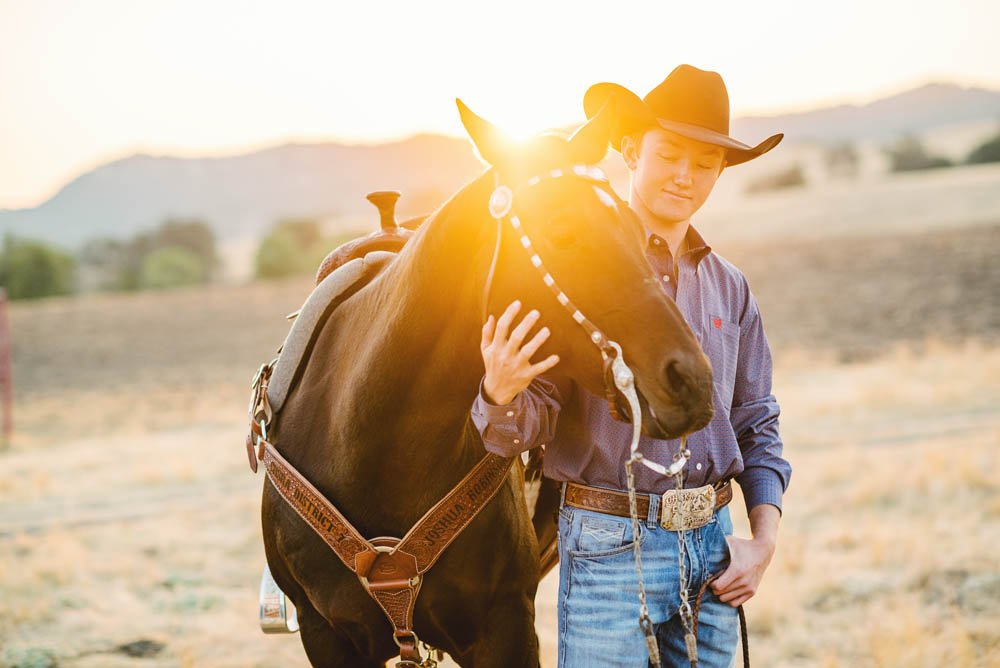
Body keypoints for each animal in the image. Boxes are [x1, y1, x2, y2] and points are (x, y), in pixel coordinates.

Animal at [256, 100, 712, 668]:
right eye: (562, 231)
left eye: (635, 229)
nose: (691, 381)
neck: (371, 443)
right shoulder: (327, 634)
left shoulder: (504, 625)